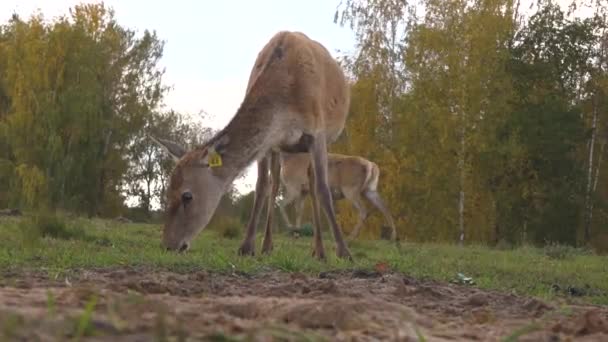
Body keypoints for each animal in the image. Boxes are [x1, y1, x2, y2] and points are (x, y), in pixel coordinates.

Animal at [149, 31, 354, 260]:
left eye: (187, 196)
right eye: (167, 191)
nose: (168, 245)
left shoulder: (317, 134)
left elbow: (323, 189)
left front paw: (344, 251)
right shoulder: (268, 144)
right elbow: (261, 186)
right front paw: (247, 246)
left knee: (311, 181)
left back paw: (318, 250)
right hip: (280, 149)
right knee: (275, 184)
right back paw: (268, 245)